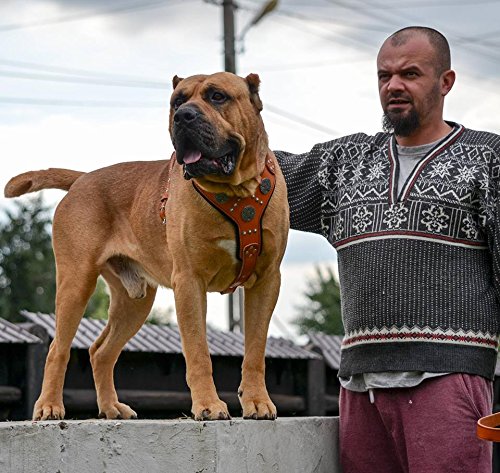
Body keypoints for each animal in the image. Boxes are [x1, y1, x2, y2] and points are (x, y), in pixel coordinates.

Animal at [4, 73, 290, 420]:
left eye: (218, 96)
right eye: (177, 102)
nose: (184, 116)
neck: (236, 192)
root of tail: (82, 178)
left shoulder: (266, 281)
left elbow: (255, 351)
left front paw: (257, 401)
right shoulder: (189, 282)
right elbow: (198, 352)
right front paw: (208, 406)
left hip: (133, 301)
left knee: (100, 351)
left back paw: (112, 408)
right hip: (76, 282)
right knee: (57, 348)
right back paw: (49, 406)